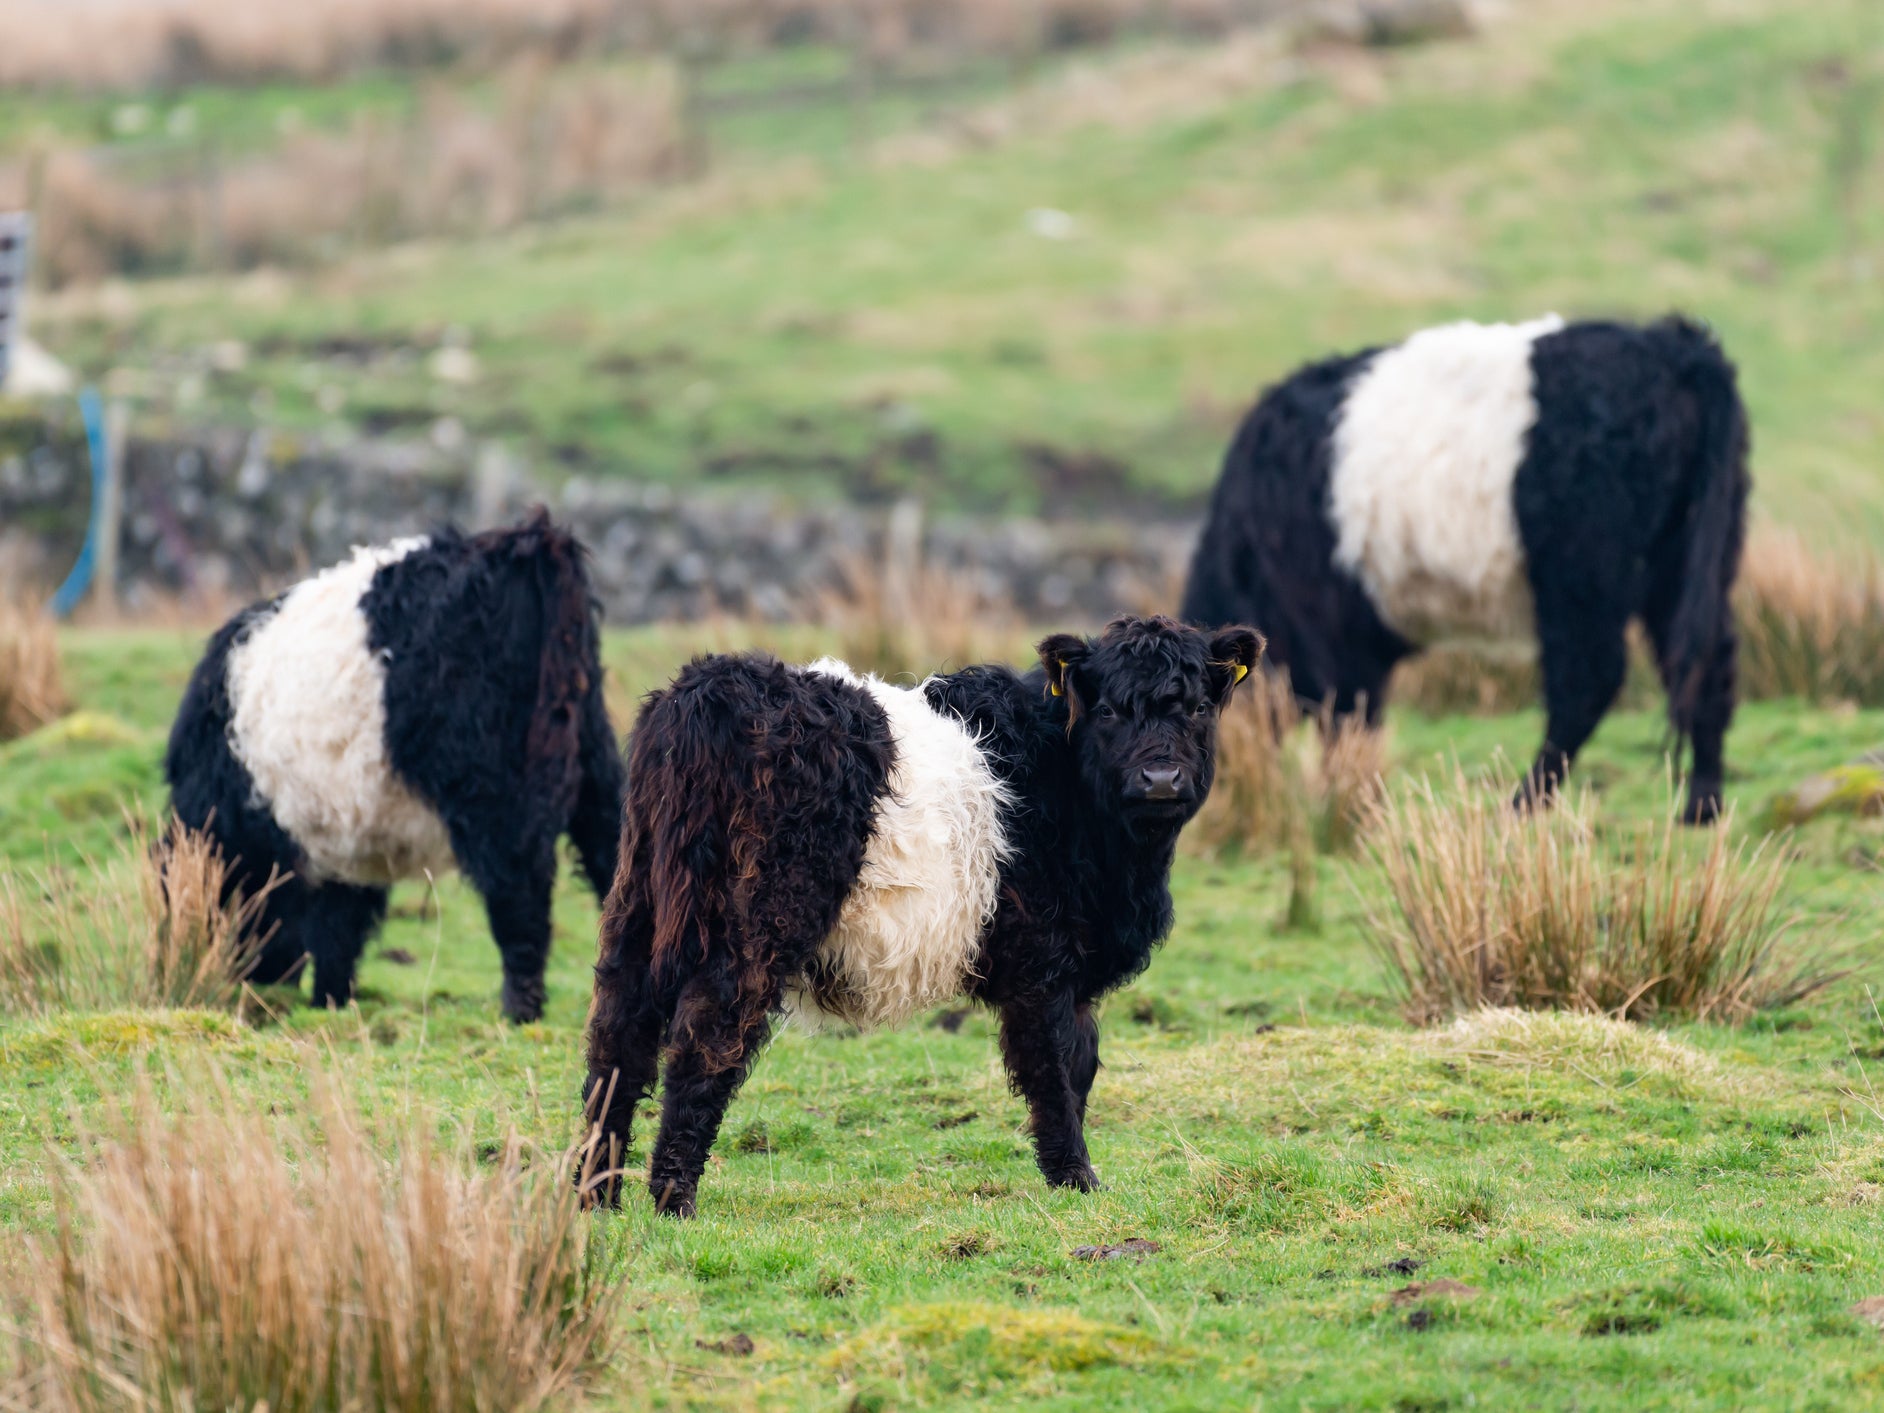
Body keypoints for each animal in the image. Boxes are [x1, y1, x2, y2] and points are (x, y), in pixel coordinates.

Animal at [162, 516, 617, 1024]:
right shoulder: (346, 842)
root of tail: (528, 541)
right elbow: (341, 927)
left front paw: (326, 999)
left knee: (520, 898)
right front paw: (332, 1000)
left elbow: (333, 928)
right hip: (595, 762)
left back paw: (519, 1010)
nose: (257, 983)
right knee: (611, 853)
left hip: (494, 797)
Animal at [584, 617, 1266, 1220]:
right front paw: (1076, 1179)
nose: (1161, 777)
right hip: (757, 923)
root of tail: (713, 686)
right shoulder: (1041, 963)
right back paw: (674, 1198)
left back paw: (594, 1195)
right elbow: (1054, 1068)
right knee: (708, 1037)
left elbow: (1082, 1063)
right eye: (1109, 712)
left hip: (637, 908)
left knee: (618, 1038)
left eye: (1198, 708)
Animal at [1183, 314, 1740, 825]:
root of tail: (1676, 344)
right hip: (1686, 566)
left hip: (1581, 575)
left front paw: (1348, 807)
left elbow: (1349, 719)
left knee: (1589, 681)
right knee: (1704, 665)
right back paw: (1701, 807)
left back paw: (1519, 806)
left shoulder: (1330, 630)